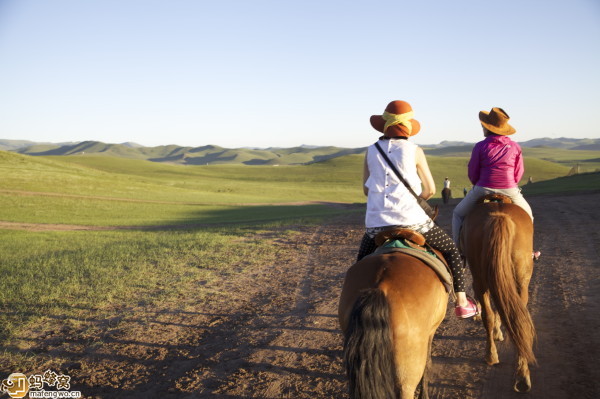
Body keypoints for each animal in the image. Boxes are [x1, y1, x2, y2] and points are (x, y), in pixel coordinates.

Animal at [458, 198, 536, 392]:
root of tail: (499, 216)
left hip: (481, 278)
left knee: (492, 315)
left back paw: (492, 356)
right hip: (520, 282)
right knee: (518, 319)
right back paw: (522, 374)